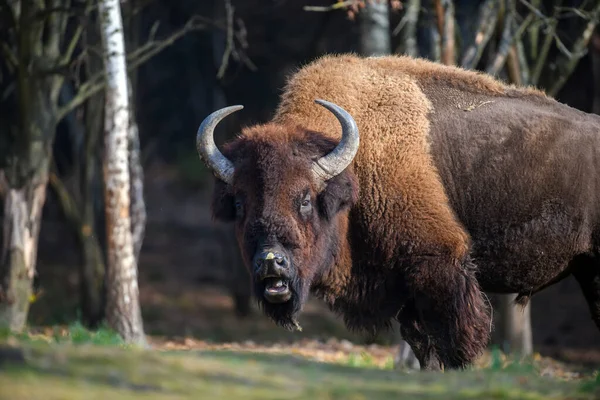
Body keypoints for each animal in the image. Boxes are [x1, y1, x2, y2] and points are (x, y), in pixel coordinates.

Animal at [196, 54, 600, 370]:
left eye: (306, 199)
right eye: (239, 204)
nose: (271, 263)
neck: (356, 165)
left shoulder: (439, 266)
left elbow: (455, 341)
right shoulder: (405, 290)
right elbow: (423, 345)